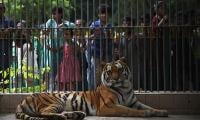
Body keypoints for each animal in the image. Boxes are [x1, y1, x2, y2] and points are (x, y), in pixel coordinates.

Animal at [15, 57, 168, 119]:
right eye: (109, 72)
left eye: (119, 69)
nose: (115, 79)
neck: (124, 87)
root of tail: (24, 98)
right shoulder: (108, 106)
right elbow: (128, 110)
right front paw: (144, 114)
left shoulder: (134, 102)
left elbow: (150, 107)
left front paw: (162, 112)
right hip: (57, 102)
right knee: (44, 113)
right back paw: (64, 116)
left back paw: (77, 114)